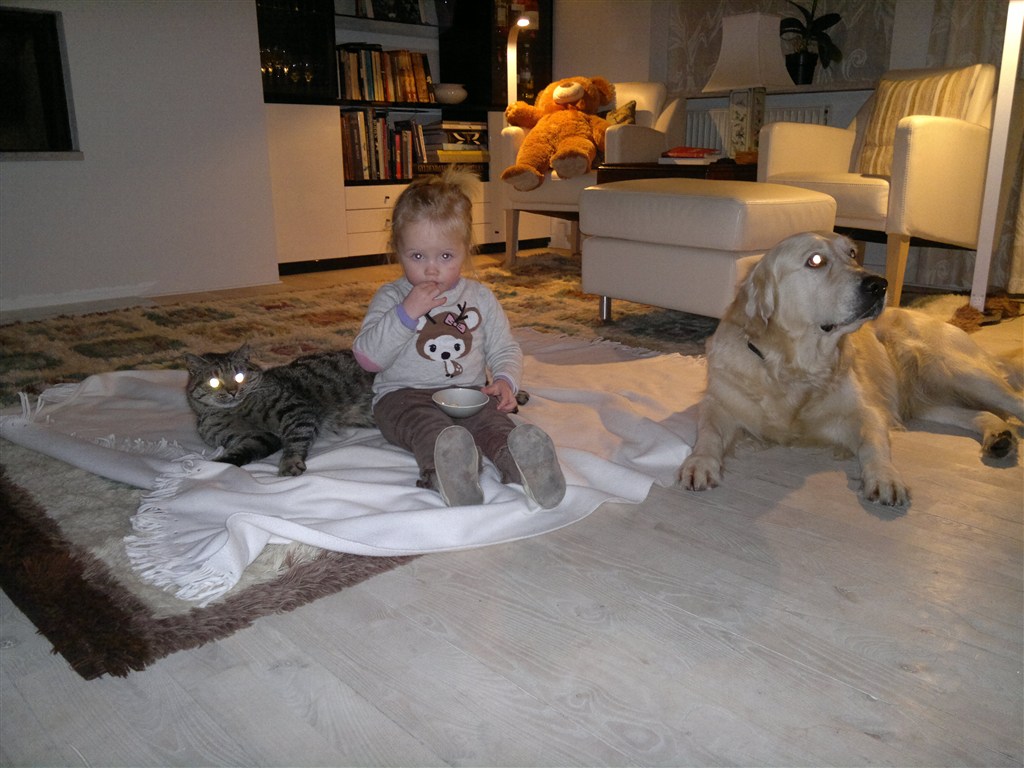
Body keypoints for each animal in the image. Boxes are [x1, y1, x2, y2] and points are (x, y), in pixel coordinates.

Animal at [184, 344, 375, 476]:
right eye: (214, 382)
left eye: (239, 376)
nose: (232, 392)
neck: (236, 410)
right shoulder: (261, 438)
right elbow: (241, 453)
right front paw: (216, 464)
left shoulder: (296, 409)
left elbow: (295, 440)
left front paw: (290, 462)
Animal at [678, 232, 1023, 507]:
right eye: (816, 260)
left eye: (853, 254)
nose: (880, 284)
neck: (795, 369)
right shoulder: (719, 404)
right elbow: (708, 432)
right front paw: (699, 463)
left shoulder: (866, 412)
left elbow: (874, 446)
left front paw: (885, 477)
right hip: (926, 399)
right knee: (980, 413)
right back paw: (999, 435)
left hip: (957, 370)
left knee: (1014, 401)